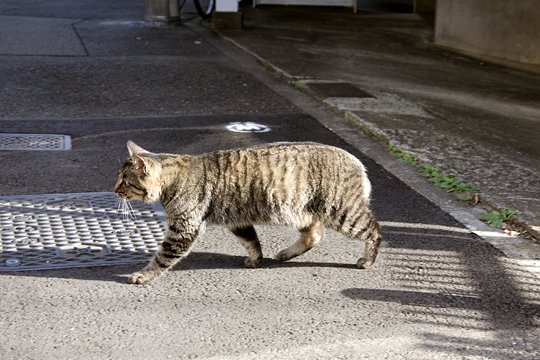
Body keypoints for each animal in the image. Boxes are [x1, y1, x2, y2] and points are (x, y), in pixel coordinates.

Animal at [114, 141, 382, 284]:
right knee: (314, 234)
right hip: (300, 210)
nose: (114, 189)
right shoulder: (237, 220)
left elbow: (162, 257)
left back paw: (368, 260)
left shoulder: (183, 229)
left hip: (344, 213)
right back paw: (286, 253)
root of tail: (356, 161)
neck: (174, 176)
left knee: (374, 231)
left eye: (124, 180)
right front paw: (256, 260)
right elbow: (252, 242)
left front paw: (143, 275)